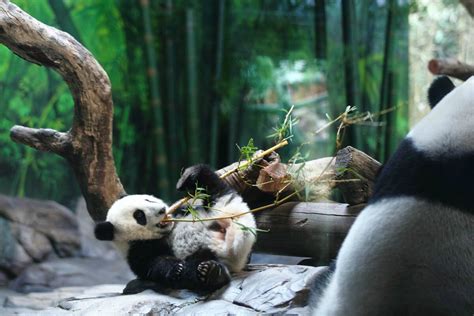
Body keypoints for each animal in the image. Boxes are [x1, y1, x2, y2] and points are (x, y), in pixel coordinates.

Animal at [93, 164, 256, 292]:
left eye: (148, 199)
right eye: (139, 216)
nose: (161, 210)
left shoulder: (181, 211)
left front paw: (186, 178)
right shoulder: (138, 250)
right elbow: (156, 264)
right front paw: (176, 269)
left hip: (217, 206)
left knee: (215, 187)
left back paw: (189, 176)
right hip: (204, 252)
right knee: (197, 265)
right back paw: (212, 273)